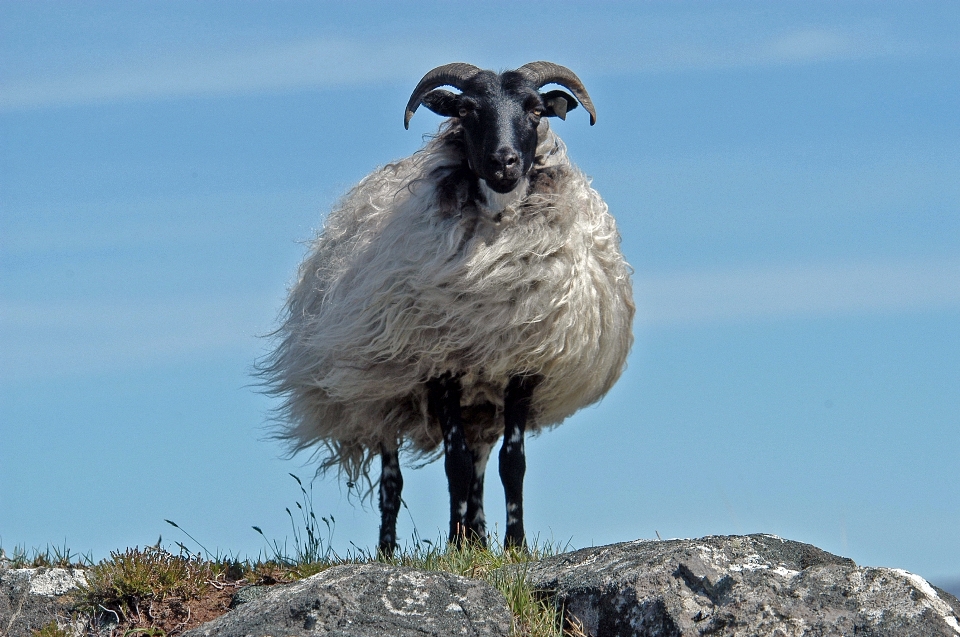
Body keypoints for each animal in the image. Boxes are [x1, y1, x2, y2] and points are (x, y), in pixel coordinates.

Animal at [260, 62, 636, 556]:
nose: (503, 162)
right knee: (393, 480)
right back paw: (391, 551)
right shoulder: (439, 365)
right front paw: (457, 548)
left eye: (536, 110)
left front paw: (512, 546)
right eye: (465, 110)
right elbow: (452, 463)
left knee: (478, 467)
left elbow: (511, 462)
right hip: (380, 391)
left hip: (480, 405)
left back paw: (478, 536)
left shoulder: (522, 366)